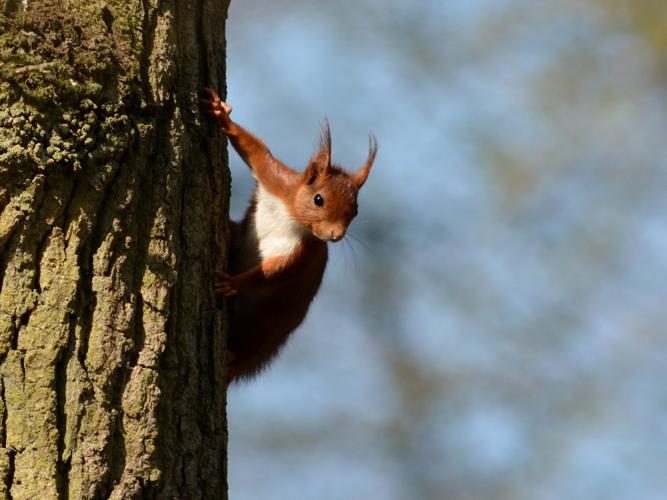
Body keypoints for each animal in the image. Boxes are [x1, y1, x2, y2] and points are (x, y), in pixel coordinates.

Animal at [200, 88, 376, 380]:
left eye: (356, 211)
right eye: (319, 199)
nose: (336, 235)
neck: (292, 215)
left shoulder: (305, 253)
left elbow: (275, 272)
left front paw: (234, 283)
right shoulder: (276, 180)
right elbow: (256, 152)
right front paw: (222, 115)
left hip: (266, 324)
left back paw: (233, 356)